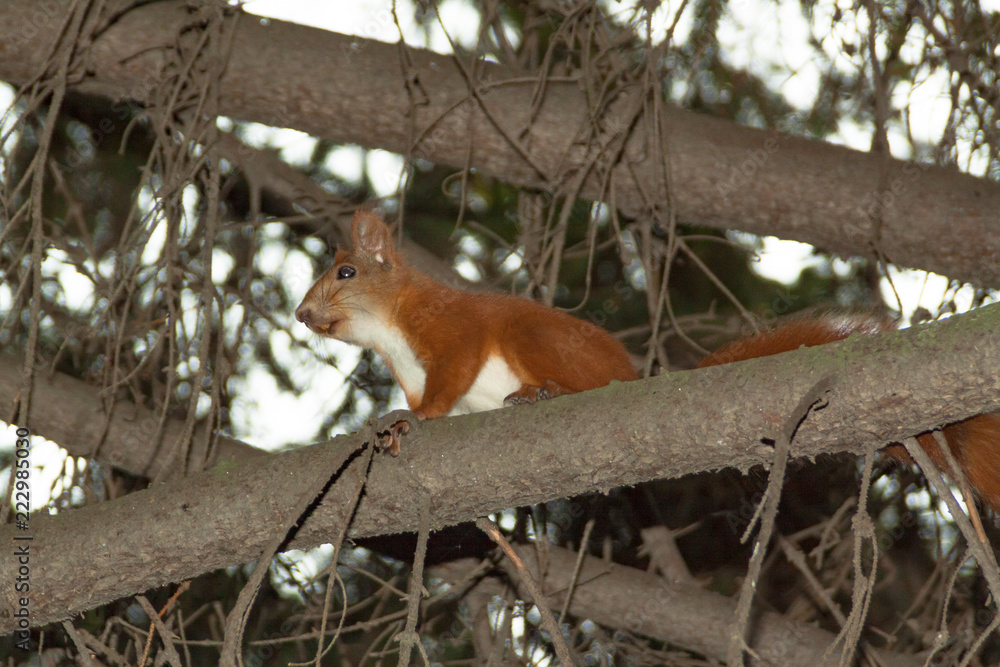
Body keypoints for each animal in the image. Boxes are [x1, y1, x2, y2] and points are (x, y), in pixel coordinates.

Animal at [297, 211, 1000, 511]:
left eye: (346, 272)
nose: (302, 314)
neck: (392, 333)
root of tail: (631, 379)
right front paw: (393, 425)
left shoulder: (454, 329)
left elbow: (449, 382)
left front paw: (414, 421)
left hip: (534, 336)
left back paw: (545, 393)